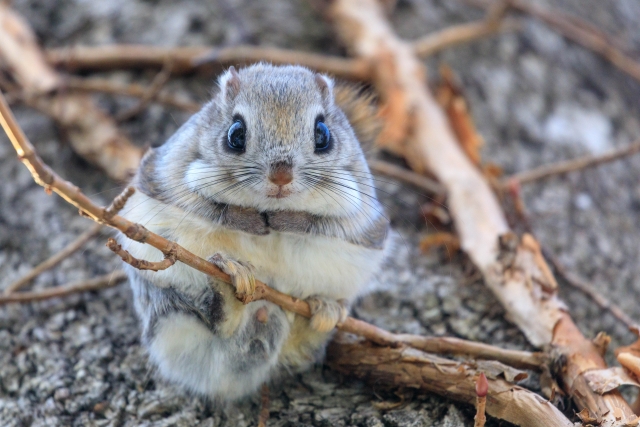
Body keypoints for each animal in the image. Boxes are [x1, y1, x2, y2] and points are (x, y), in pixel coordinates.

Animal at [117, 63, 392, 402]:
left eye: (323, 135)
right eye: (236, 134)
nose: (281, 176)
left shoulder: (364, 218)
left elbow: (326, 224)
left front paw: (289, 222)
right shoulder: (167, 176)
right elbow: (210, 207)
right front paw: (248, 220)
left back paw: (323, 312)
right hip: (166, 304)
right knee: (207, 320)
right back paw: (231, 290)